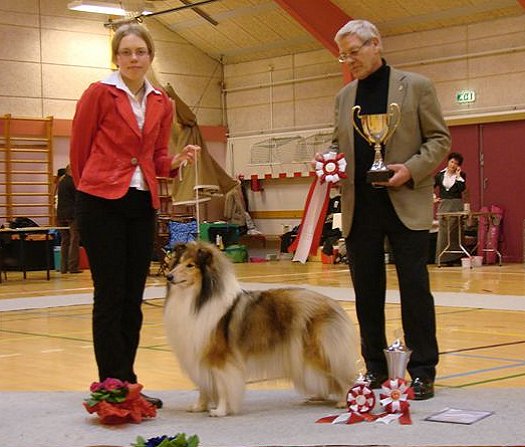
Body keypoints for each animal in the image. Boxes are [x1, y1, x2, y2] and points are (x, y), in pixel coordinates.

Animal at [164, 242, 360, 416]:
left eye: (190, 265)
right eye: (178, 262)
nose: (169, 277)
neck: (197, 298)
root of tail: (333, 303)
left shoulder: (220, 358)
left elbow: (222, 385)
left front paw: (220, 411)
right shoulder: (198, 354)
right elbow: (203, 386)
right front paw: (199, 407)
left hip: (320, 350)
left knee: (342, 374)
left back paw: (344, 401)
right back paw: (319, 397)